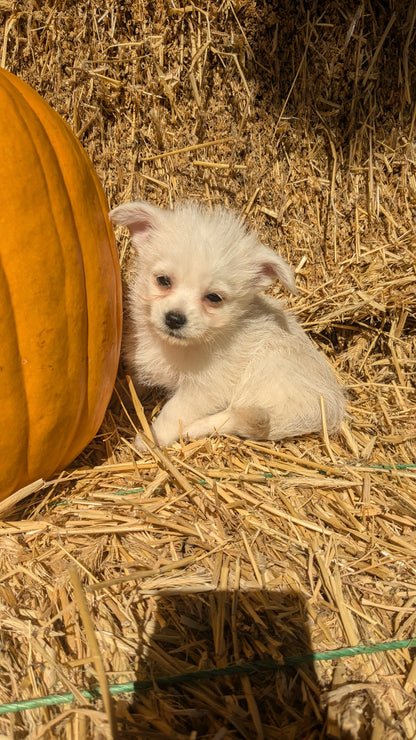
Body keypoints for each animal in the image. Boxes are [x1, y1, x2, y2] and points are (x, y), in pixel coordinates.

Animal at [109, 199, 344, 448]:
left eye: (214, 298)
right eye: (163, 280)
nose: (174, 319)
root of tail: (330, 409)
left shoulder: (201, 391)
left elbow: (172, 414)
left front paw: (149, 439)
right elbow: (136, 383)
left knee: (239, 419)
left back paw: (193, 430)